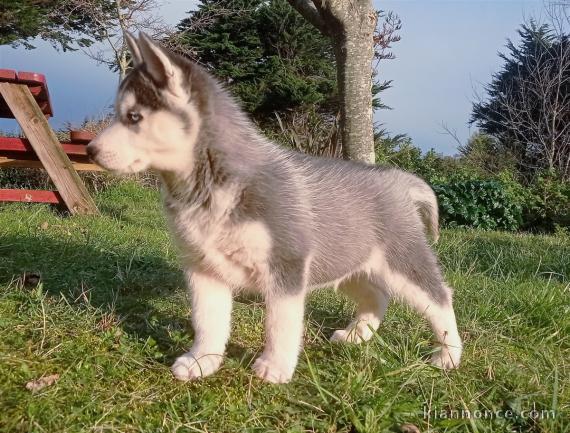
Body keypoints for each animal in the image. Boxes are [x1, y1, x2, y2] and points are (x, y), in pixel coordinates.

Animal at [90, 34, 462, 384]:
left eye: (134, 117)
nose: (90, 149)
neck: (208, 185)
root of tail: (396, 177)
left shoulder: (286, 266)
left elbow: (279, 323)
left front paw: (275, 366)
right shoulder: (203, 268)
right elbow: (208, 320)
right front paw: (202, 360)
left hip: (402, 263)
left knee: (440, 298)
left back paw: (449, 355)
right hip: (347, 263)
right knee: (377, 296)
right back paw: (357, 335)